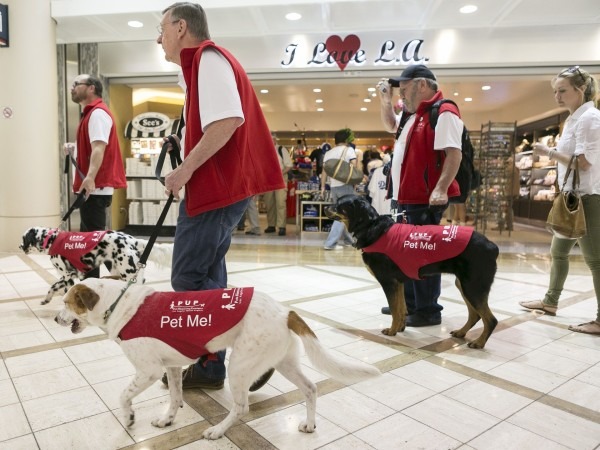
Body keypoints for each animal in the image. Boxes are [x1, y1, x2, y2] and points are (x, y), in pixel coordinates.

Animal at [19, 227, 173, 304]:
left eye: (23, 238)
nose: (19, 246)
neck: (52, 239)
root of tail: (133, 240)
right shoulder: (69, 276)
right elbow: (56, 288)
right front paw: (48, 300)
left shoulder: (67, 275)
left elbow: (63, 290)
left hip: (128, 272)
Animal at [54, 280, 378, 442]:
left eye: (66, 303)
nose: (56, 319)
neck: (118, 303)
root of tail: (285, 311)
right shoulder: (172, 366)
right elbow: (175, 397)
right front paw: (167, 419)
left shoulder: (148, 371)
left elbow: (123, 396)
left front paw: (129, 418)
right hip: (284, 361)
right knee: (310, 388)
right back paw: (310, 424)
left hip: (240, 366)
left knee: (242, 406)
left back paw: (218, 431)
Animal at [326, 194, 500, 348]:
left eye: (339, 204)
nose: (325, 207)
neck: (371, 226)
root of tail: (492, 246)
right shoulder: (398, 283)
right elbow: (401, 308)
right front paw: (399, 328)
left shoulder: (389, 282)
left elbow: (395, 309)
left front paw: (392, 331)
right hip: (464, 284)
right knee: (475, 314)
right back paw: (461, 332)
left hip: (473, 286)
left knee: (491, 319)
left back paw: (479, 342)